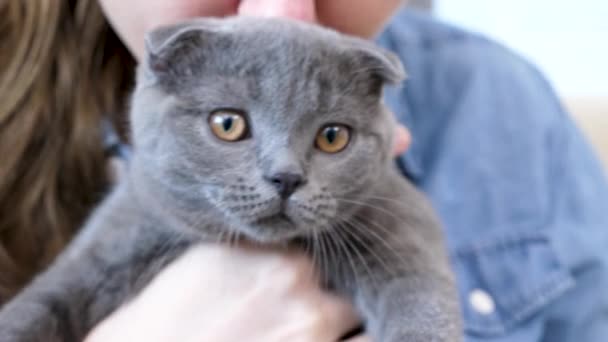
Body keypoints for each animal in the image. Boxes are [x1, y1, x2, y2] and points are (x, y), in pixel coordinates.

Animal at [0, 16, 460, 342]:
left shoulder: (398, 225)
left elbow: (421, 302)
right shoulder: (117, 236)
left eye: (332, 136)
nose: (286, 177)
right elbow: (44, 300)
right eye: (227, 124)